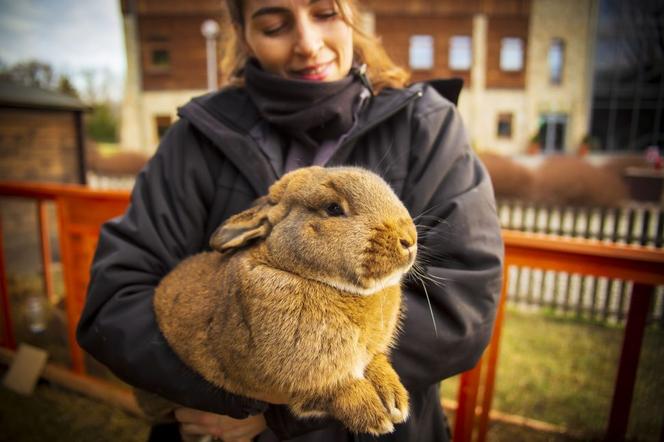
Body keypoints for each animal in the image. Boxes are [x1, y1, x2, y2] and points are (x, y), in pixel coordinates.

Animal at [153, 166, 418, 436]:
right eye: (333, 208)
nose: (409, 238)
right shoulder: (295, 381)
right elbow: (336, 390)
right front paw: (374, 416)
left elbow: (375, 362)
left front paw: (394, 398)